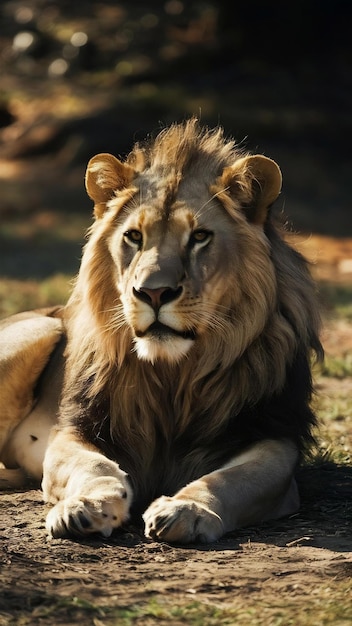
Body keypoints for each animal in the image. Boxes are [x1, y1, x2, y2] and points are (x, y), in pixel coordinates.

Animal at [0, 118, 324, 540]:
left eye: (200, 236)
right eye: (134, 237)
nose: (153, 292)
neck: (174, 375)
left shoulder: (273, 436)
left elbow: (230, 479)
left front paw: (187, 509)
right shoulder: (76, 430)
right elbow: (95, 466)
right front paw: (86, 507)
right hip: (43, 326)